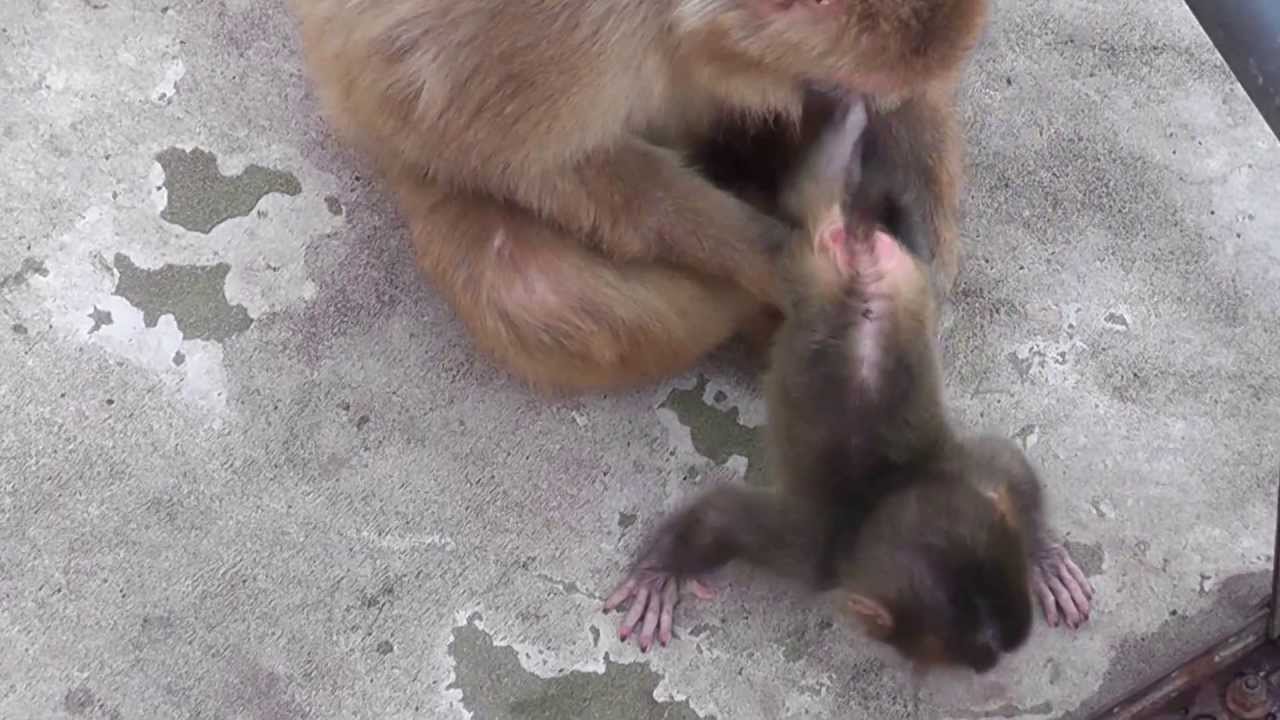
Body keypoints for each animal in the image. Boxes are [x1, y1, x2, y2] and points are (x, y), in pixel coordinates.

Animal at [288, 0, 988, 393]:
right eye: (828, 79)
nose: (847, 105)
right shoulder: (554, 35)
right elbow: (526, 160)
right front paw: (788, 260)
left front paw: (918, 205)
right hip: (407, 165)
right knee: (529, 287)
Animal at [603, 101, 1093, 671]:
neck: (888, 492)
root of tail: (858, 254)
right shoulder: (817, 553)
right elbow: (722, 517)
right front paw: (662, 572)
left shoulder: (959, 478)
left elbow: (1007, 464)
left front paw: (1042, 557)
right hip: (806, 263)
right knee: (808, 193)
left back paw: (853, 120)